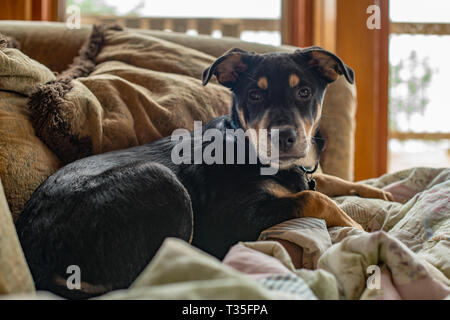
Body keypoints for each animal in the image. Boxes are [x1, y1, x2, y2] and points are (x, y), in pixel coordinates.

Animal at [15, 46, 392, 298]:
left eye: (304, 92)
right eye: (254, 95)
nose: (284, 137)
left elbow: (331, 181)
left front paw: (381, 193)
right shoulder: (235, 216)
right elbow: (315, 198)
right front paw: (361, 228)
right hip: (161, 183)